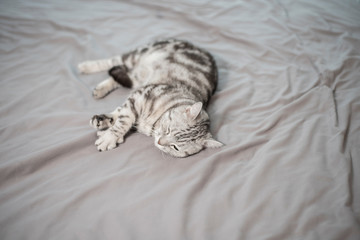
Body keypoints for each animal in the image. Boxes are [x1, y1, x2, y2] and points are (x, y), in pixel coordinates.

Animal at [79, 39, 222, 158]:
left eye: (175, 147)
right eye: (168, 130)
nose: (159, 141)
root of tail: (199, 47)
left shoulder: (137, 95)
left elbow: (120, 114)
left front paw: (106, 127)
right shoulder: (140, 95)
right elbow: (123, 120)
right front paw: (109, 136)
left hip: (138, 78)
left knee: (122, 75)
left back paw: (100, 90)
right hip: (139, 55)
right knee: (114, 61)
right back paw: (86, 67)